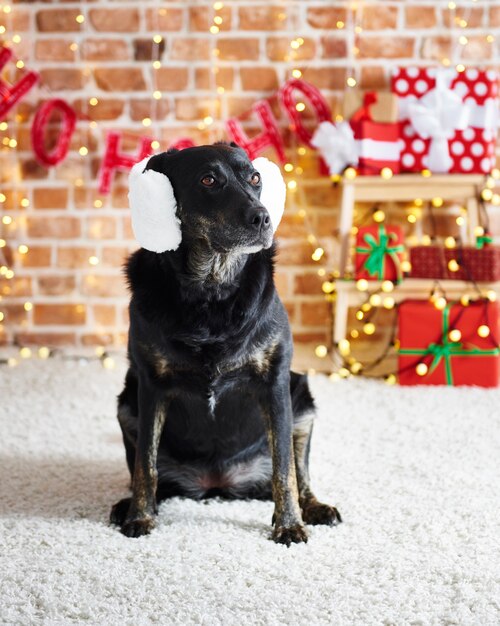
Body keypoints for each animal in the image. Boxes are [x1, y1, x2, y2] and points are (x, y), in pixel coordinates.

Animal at [111, 144, 342, 544]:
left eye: (255, 178)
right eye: (208, 180)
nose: (263, 217)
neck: (212, 290)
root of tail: (218, 485)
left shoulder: (275, 383)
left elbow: (285, 469)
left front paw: (289, 524)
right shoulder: (151, 385)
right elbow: (144, 465)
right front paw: (139, 517)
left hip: (301, 398)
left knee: (299, 472)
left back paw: (315, 508)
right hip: (127, 403)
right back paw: (129, 505)